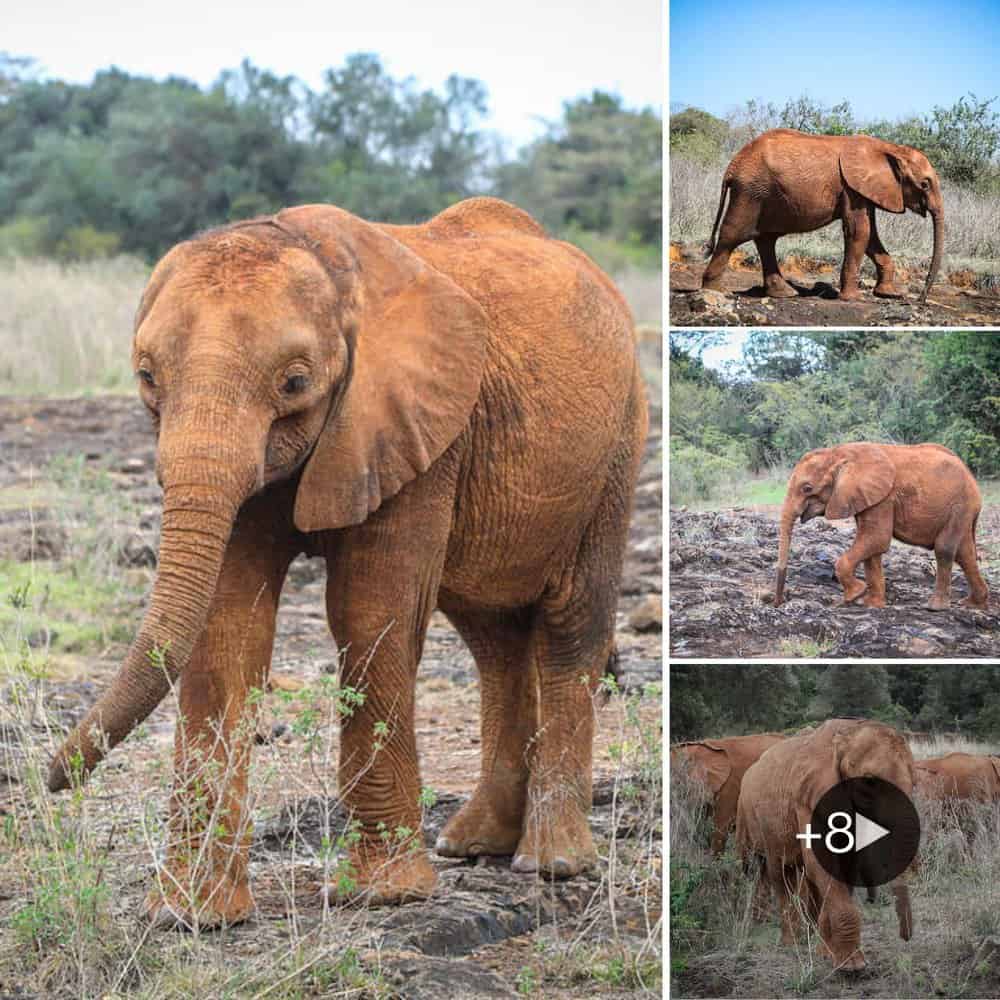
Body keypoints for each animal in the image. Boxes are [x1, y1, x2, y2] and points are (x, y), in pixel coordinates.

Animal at [45, 197, 648, 928]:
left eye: (295, 382)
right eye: (146, 377)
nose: (50, 779)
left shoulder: (417, 428)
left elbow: (368, 609)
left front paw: (385, 896)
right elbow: (227, 622)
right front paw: (192, 917)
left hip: (616, 449)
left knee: (568, 624)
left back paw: (551, 863)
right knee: (492, 636)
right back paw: (475, 846)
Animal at [701, 129, 943, 303]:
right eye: (925, 184)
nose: (920, 300)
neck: (890, 148)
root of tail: (732, 167)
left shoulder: (864, 190)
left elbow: (871, 235)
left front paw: (889, 294)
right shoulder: (852, 189)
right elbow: (860, 232)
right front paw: (852, 299)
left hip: (761, 195)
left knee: (766, 239)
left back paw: (785, 294)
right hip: (750, 193)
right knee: (732, 236)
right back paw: (714, 292)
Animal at [736, 719, 916, 972]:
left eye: (915, 782)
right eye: (869, 781)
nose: (905, 937)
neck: (845, 733)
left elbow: (843, 866)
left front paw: (827, 955)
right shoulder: (807, 799)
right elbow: (822, 864)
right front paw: (852, 966)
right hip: (753, 816)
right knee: (777, 873)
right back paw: (791, 942)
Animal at [774, 442, 988, 611]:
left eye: (807, 488)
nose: (779, 603)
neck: (839, 452)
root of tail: (970, 474)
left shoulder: (884, 498)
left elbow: (877, 539)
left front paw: (854, 595)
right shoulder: (866, 497)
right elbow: (872, 548)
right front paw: (870, 604)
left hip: (960, 505)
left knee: (944, 548)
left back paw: (935, 607)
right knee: (965, 553)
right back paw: (973, 604)